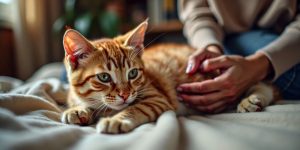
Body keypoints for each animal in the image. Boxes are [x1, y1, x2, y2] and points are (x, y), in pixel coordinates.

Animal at [60, 19, 278, 134]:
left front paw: (116, 120)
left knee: (265, 85)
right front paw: (77, 110)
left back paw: (252, 100)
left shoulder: (157, 99)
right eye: (104, 77)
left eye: (133, 73)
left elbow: (134, 108)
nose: (125, 95)